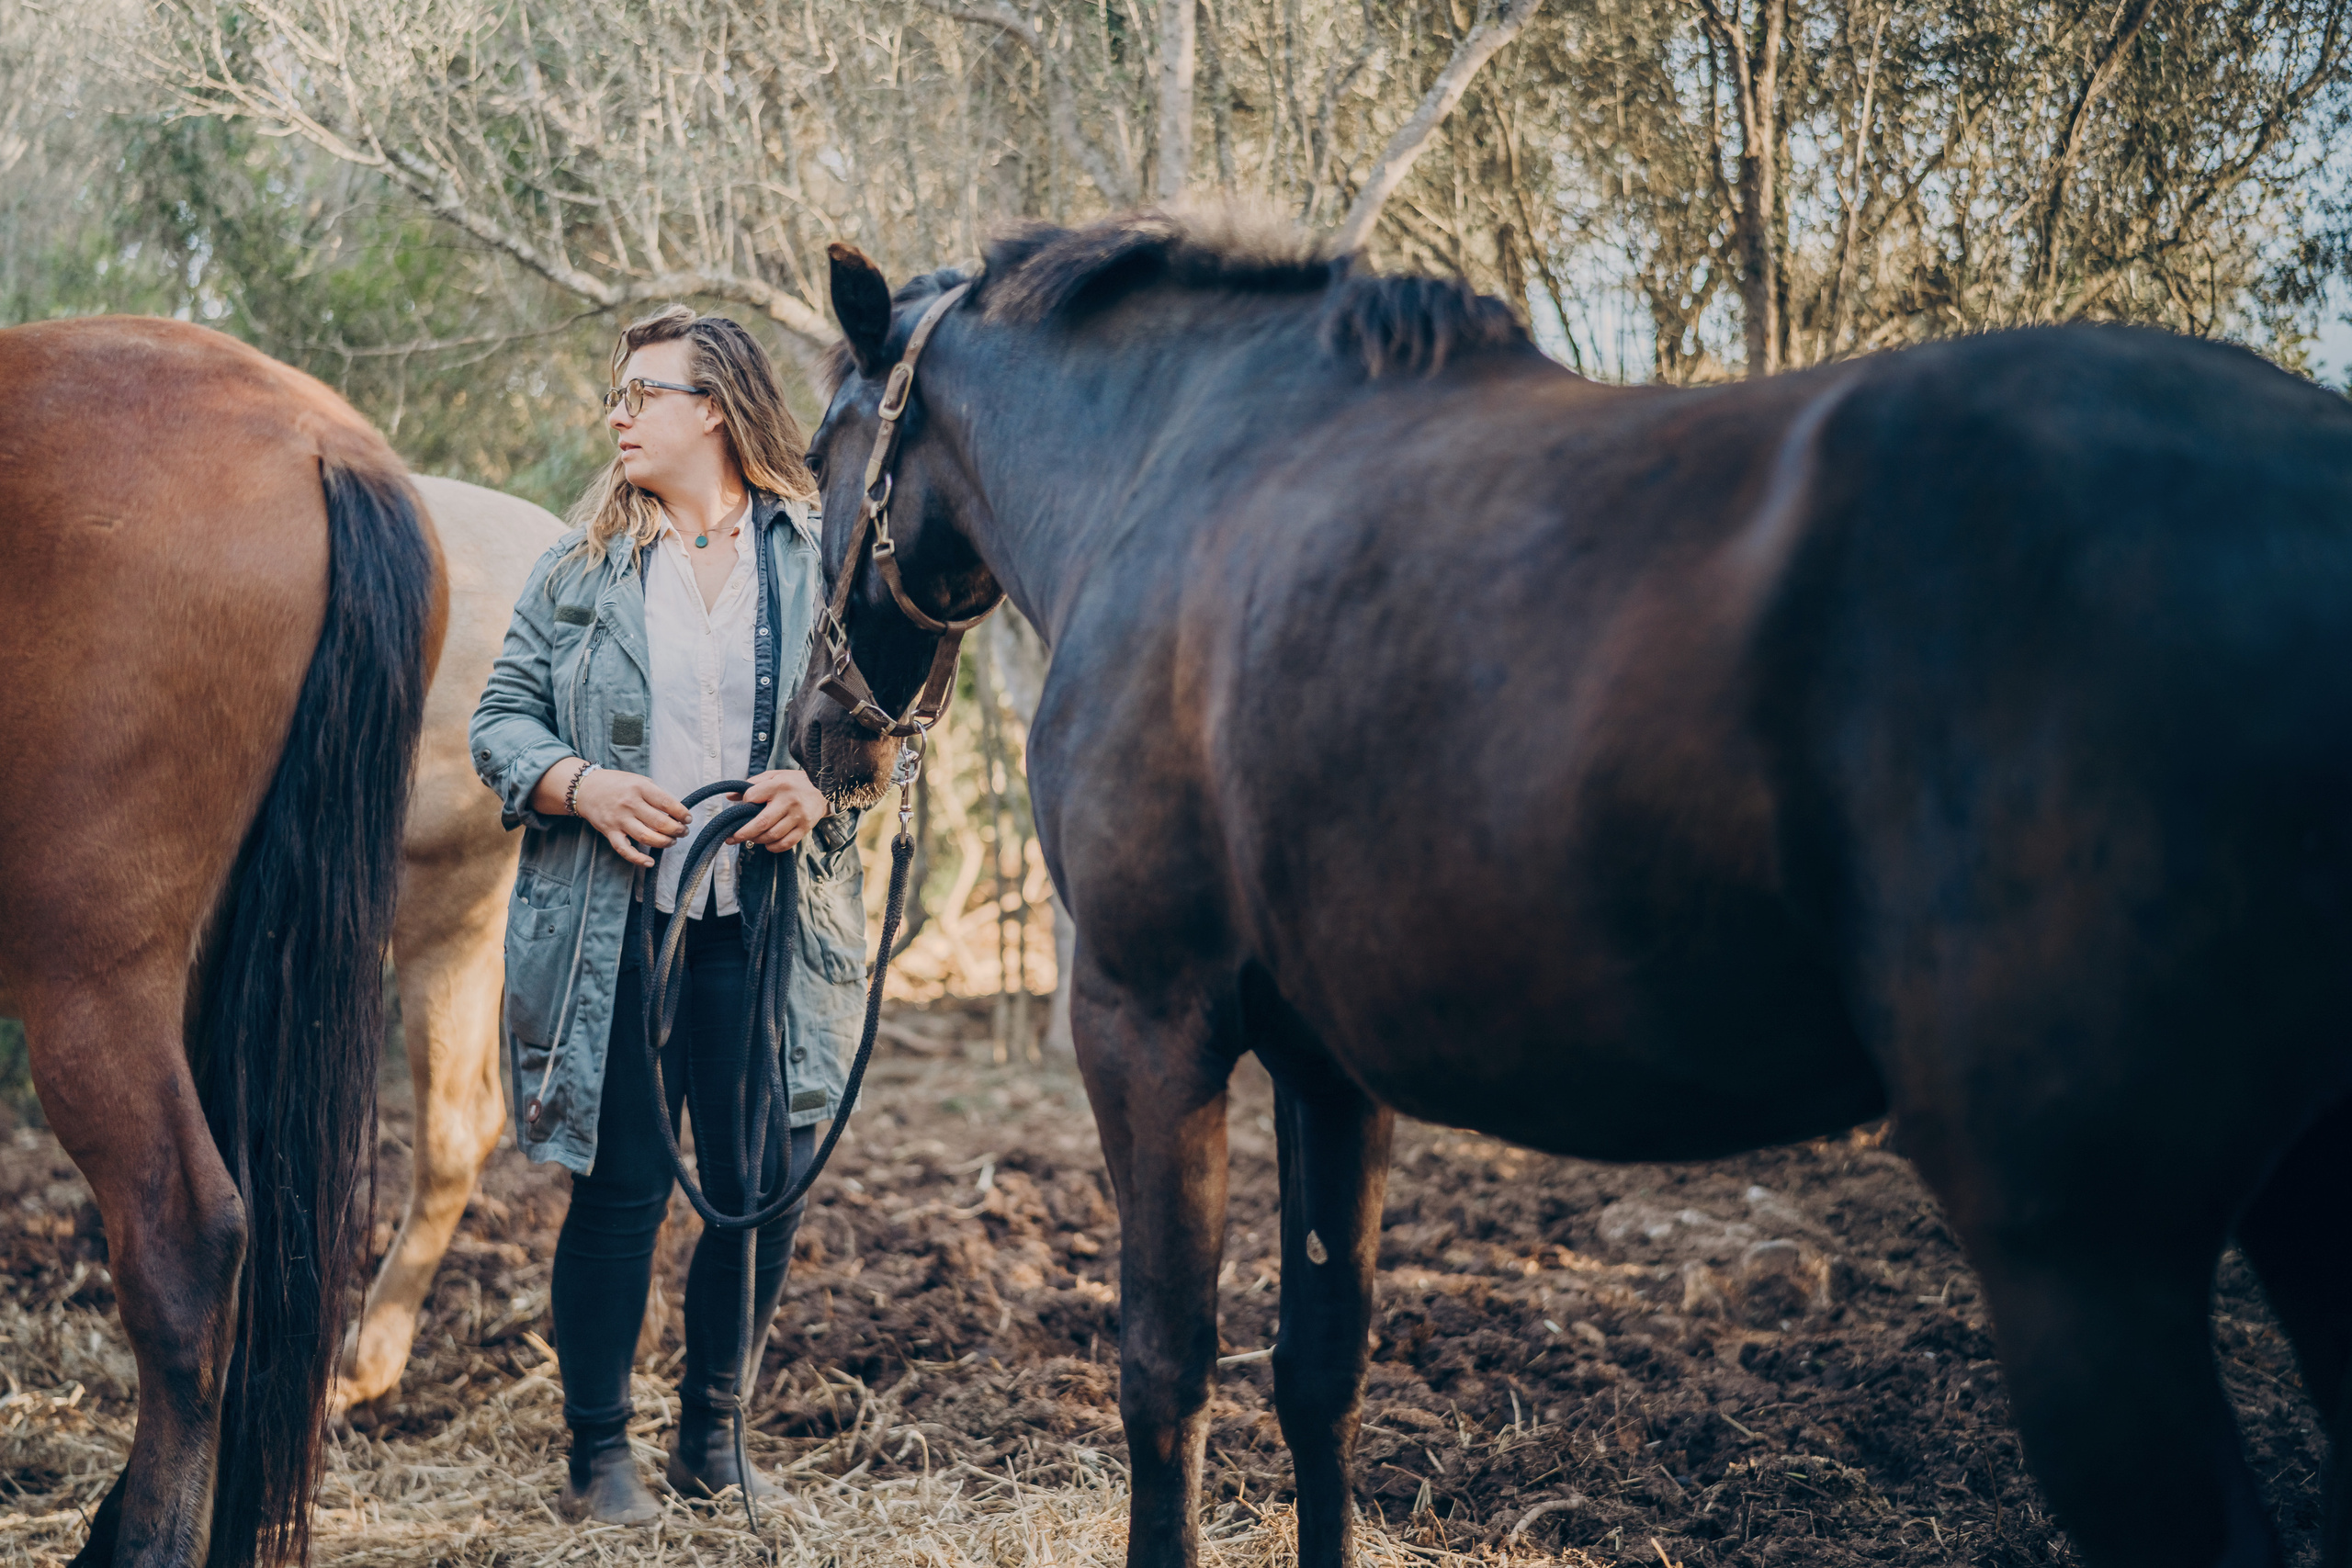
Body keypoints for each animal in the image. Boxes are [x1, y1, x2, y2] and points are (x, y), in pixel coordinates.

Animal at [789, 215, 2352, 1568]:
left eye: (817, 452)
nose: (823, 738)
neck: (1167, 467)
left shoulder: (1145, 1022)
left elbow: (1164, 1370)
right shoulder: (1325, 1068)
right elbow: (1317, 1370)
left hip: (2080, 1252)